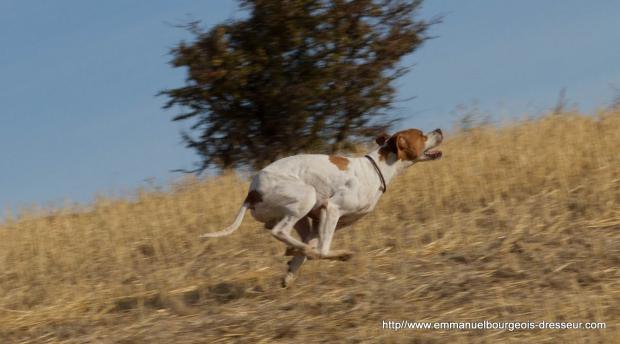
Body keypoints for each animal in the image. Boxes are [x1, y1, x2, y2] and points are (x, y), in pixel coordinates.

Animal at [201, 127, 444, 286]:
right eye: (422, 135)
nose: (439, 130)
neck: (378, 168)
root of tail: (252, 193)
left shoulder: (321, 219)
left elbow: (306, 252)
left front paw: (291, 271)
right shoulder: (332, 209)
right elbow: (322, 249)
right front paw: (333, 254)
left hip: (302, 216)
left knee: (285, 234)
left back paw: (296, 251)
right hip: (307, 196)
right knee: (282, 232)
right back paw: (321, 252)